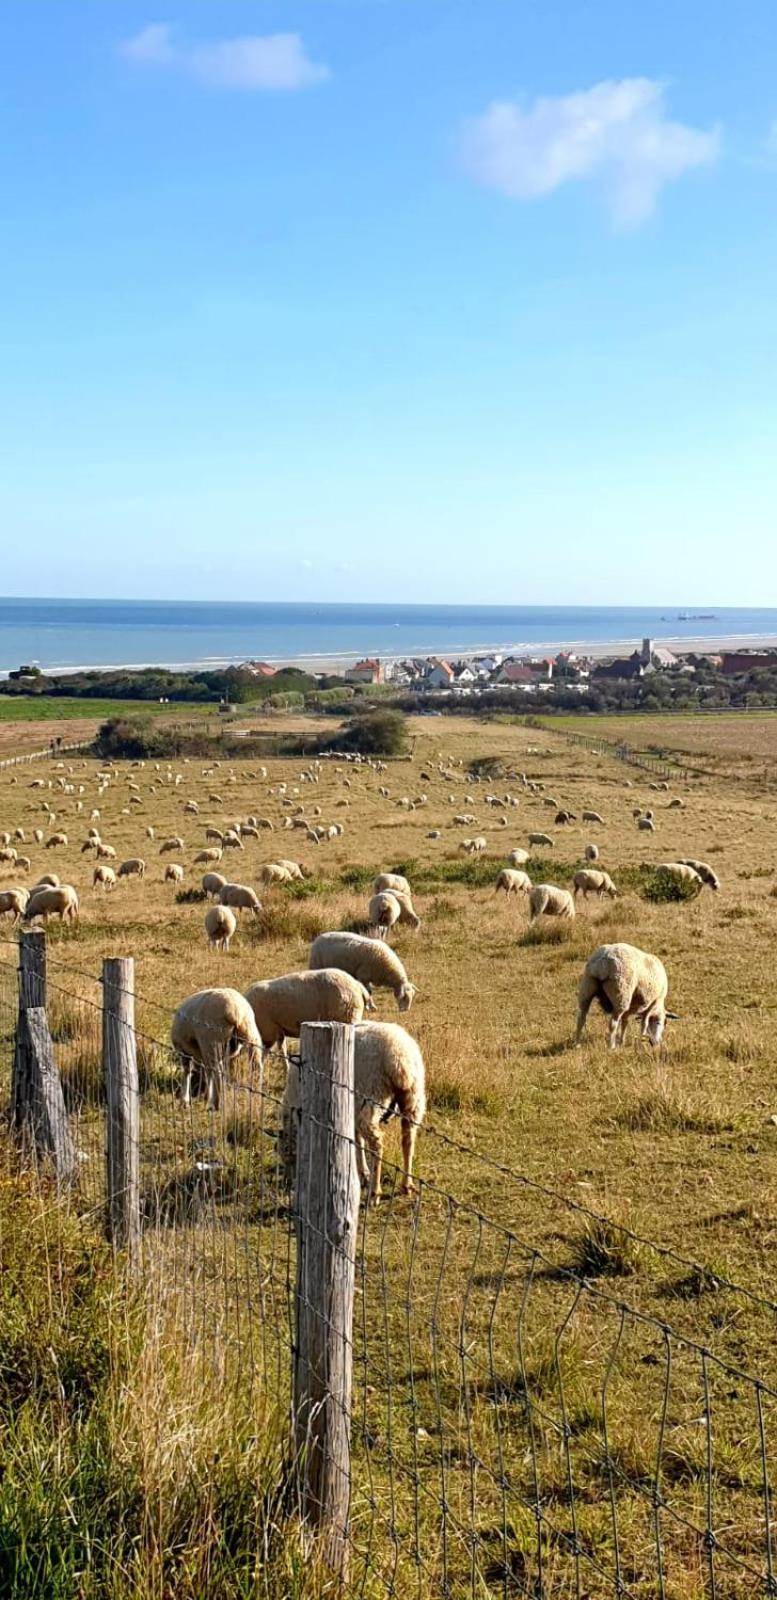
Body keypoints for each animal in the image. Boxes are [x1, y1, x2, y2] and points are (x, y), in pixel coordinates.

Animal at [170, 979, 260, 1107]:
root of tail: (235, 1011)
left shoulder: (183, 1050)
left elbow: (187, 1072)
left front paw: (186, 1100)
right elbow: (207, 1073)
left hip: (211, 1041)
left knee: (217, 1073)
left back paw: (214, 1104)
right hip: (251, 1034)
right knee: (256, 1066)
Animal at [244, 960, 374, 1062]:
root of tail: (358, 986)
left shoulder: (268, 1030)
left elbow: (263, 1054)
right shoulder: (278, 1029)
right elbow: (282, 1049)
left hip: (348, 1016)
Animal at [279, 1024, 425, 1203]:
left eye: (287, 1155)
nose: (289, 1183)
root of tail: (398, 1057)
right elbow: (357, 1140)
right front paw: (362, 1172)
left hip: (370, 1097)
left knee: (377, 1145)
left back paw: (375, 1192)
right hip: (413, 1099)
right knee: (408, 1141)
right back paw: (407, 1185)